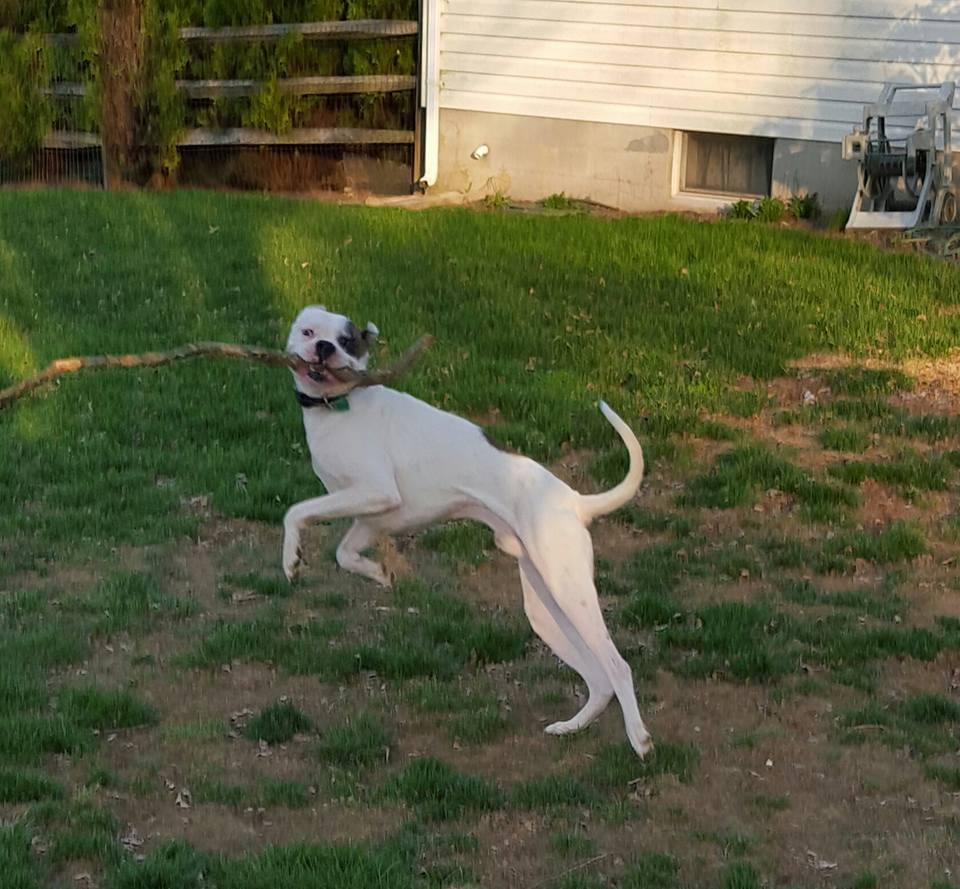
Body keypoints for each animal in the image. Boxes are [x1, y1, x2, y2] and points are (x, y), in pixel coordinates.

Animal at [280, 306, 652, 756]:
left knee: (618, 666)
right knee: (598, 679)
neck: (340, 407)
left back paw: (639, 739)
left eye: (347, 341)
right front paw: (378, 574)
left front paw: (291, 559)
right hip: (547, 609)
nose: (323, 348)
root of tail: (575, 501)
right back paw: (570, 727)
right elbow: (344, 554)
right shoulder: (372, 517)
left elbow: (295, 512)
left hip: (572, 595)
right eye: (308, 332)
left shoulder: (375, 491)